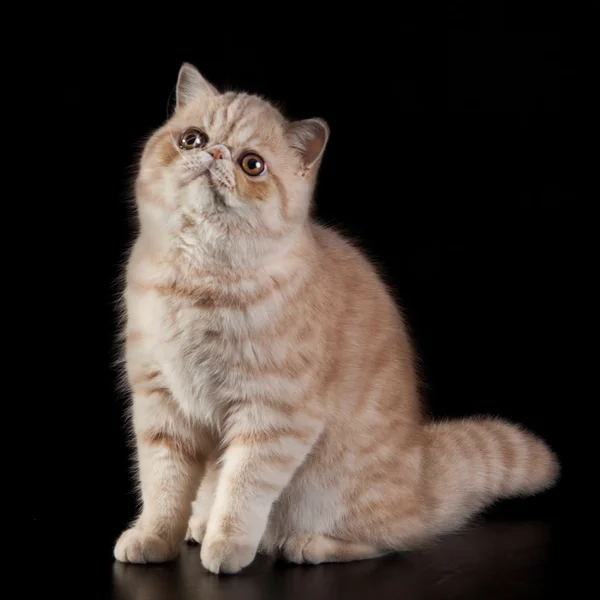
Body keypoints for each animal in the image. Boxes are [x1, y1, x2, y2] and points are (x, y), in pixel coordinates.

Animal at [115, 63, 560, 576]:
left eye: (252, 165)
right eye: (192, 139)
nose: (216, 152)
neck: (199, 279)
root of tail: (423, 478)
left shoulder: (274, 416)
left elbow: (243, 488)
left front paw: (226, 544)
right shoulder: (160, 403)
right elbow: (162, 486)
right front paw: (154, 537)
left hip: (333, 495)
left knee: (390, 538)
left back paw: (305, 544)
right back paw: (199, 524)